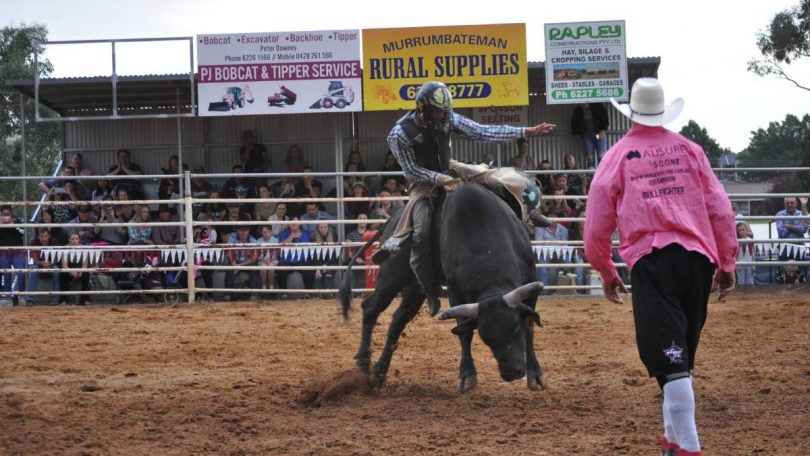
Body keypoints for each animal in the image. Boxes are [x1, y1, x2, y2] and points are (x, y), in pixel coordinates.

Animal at [338, 182, 548, 392]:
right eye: (486, 336)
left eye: (514, 327)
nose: (511, 372)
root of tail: (393, 220)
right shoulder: (455, 291)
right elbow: (465, 333)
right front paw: (467, 375)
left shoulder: (530, 282)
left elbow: (529, 327)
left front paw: (535, 375)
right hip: (392, 275)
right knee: (371, 308)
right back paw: (363, 361)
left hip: (416, 287)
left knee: (397, 321)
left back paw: (379, 371)